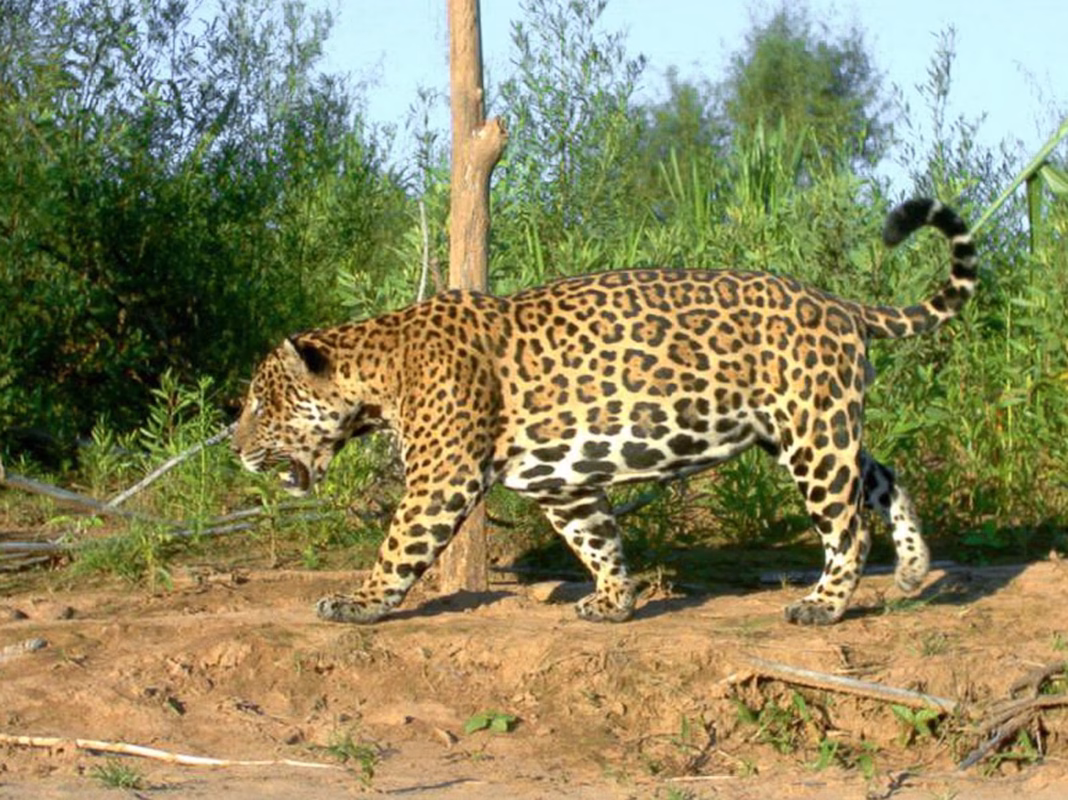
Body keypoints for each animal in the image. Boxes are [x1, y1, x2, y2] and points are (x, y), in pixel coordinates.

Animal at [233, 198, 977, 626]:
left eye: (261, 405)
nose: (236, 449)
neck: (379, 368)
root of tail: (839, 302)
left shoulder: (441, 478)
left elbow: (398, 546)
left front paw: (358, 603)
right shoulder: (560, 484)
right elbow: (597, 539)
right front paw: (616, 602)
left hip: (812, 433)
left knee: (847, 529)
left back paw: (823, 605)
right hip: (808, 428)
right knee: (884, 478)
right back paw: (913, 572)